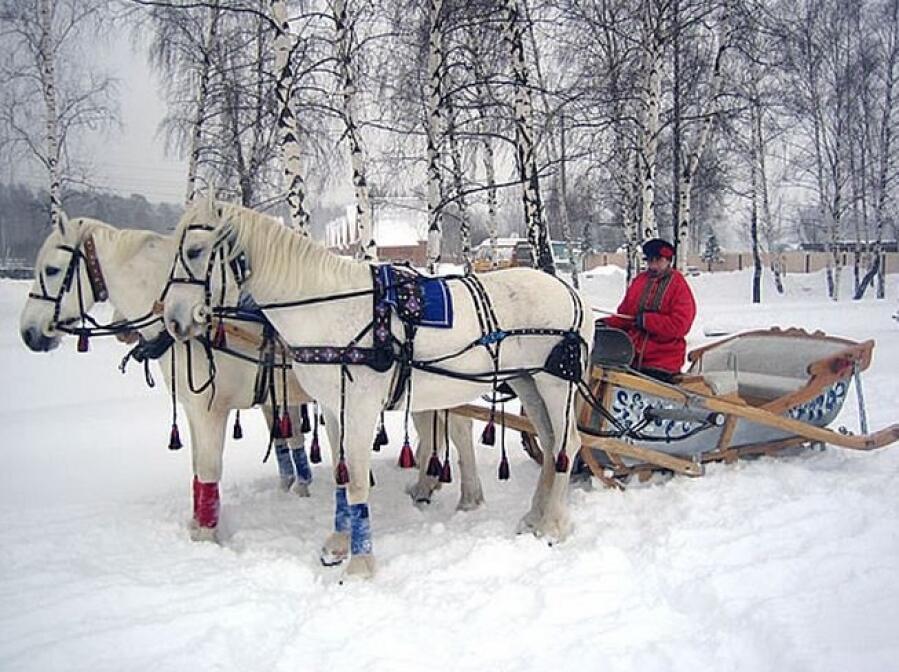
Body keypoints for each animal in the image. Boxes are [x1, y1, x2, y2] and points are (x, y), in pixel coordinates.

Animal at [15, 218, 478, 548]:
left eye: (52, 270)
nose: (28, 333)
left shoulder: (210, 407)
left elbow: (209, 467)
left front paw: (206, 536)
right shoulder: (230, 403)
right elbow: (240, 457)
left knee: (455, 430)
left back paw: (460, 492)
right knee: (437, 429)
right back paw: (429, 484)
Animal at [163, 200, 596, 576]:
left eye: (196, 250)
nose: (174, 320)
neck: (328, 308)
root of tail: (573, 294)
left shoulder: (359, 407)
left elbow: (356, 478)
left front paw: (360, 565)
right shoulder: (334, 408)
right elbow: (342, 478)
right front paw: (339, 544)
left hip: (556, 382)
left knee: (568, 444)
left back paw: (554, 525)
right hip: (527, 381)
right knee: (550, 443)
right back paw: (535, 516)